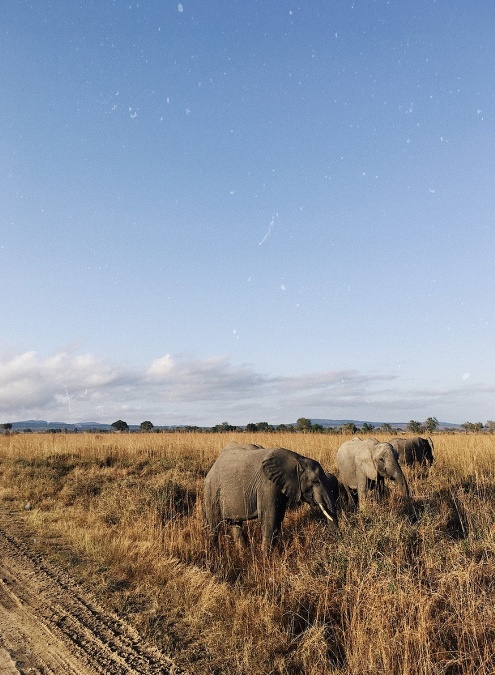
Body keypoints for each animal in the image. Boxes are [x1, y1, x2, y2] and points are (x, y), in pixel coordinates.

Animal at [203, 444, 340, 556]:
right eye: (315, 481)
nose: (336, 541)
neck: (297, 460)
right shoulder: (267, 485)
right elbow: (270, 516)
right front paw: (265, 557)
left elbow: (278, 517)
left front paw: (274, 552)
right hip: (211, 491)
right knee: (214, 524)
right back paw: (213, 552)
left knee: (235, 523)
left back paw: (242, 552)